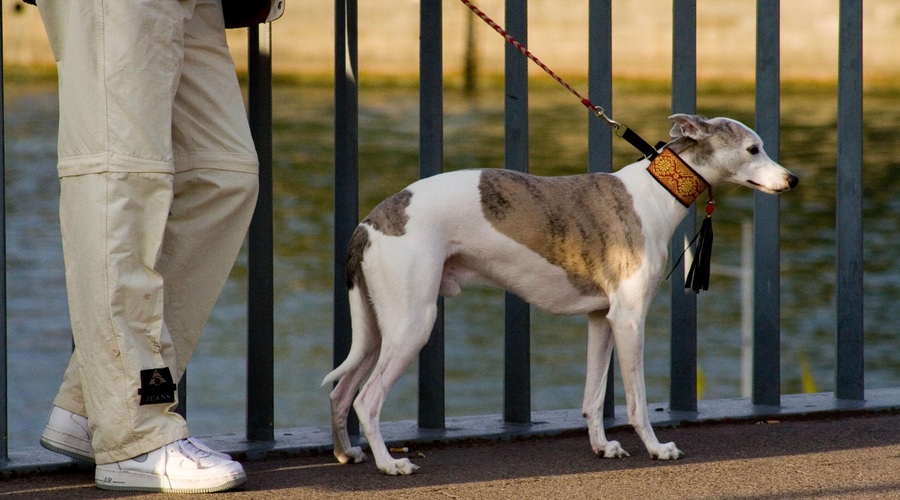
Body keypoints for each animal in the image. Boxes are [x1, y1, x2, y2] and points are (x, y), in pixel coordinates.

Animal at [322, 114, 796, 476]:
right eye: (753, 149)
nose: (792, 179)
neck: (653, 194)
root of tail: (367, 223)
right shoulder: (629, 320)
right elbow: (637, 400)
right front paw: (657, 449)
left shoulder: (602, 318)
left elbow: (593, 396)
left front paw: (603, 446)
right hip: (412, 326)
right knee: (366, 400)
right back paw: (390, 464)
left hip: (378, 330)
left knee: (342, 392)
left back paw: (348, 453)